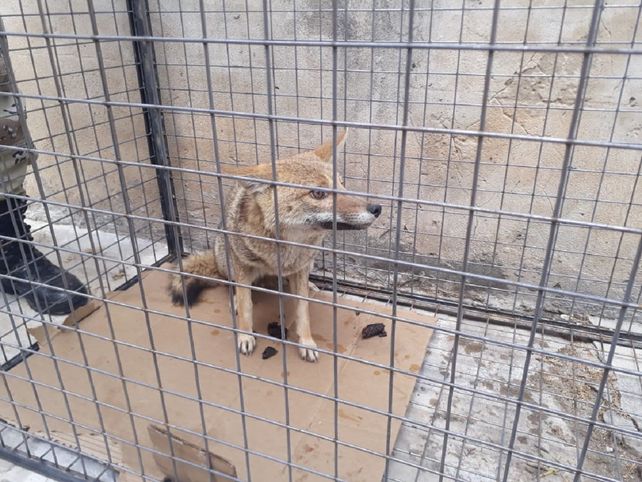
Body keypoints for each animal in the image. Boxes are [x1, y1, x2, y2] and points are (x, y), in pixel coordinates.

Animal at [168, 129, 382, 362]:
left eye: (342, 184)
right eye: (318, 193)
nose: (377, 208)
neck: (284, 250)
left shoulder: (300, 268)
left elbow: (303, 311)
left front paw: (306, 342)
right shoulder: (242, 266)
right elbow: (246, 306)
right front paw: (245, 335)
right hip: (227, 259)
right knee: (231, 284)